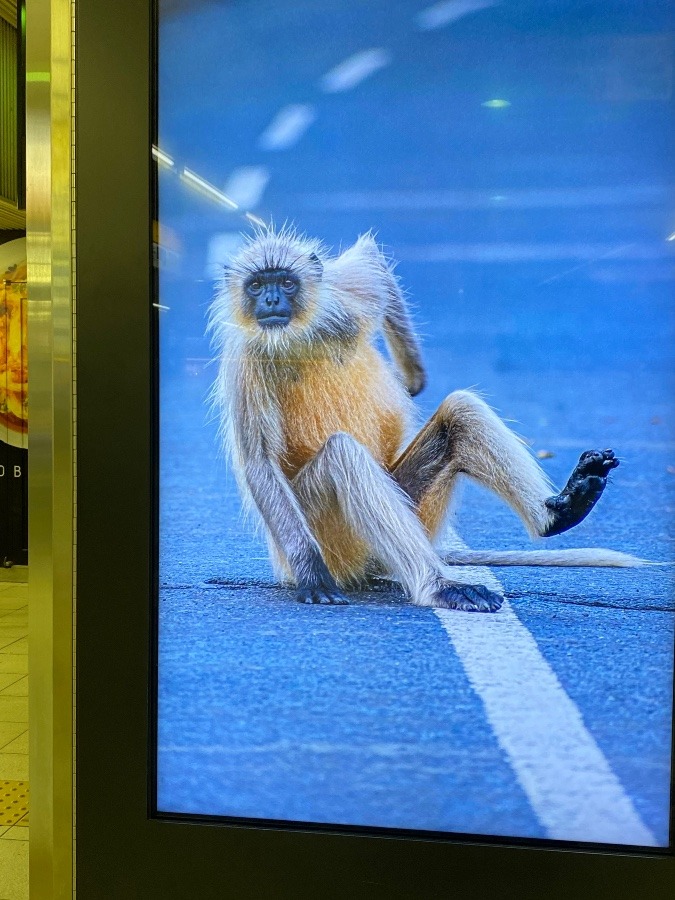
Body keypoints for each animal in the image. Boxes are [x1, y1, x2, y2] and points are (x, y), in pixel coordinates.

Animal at [209, 229, 640, 616]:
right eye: (256, 286)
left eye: (285, 282)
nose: (271, 300)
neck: (296, 338)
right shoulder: (246, 358)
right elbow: (259, 463)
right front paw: (312, 576)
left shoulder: (342, 298)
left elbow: (373, 264)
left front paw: (412, 379)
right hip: (330, 538)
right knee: (343, 455)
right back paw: (439, 586)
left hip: (413, 509)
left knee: (460, 412)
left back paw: (561, 511)